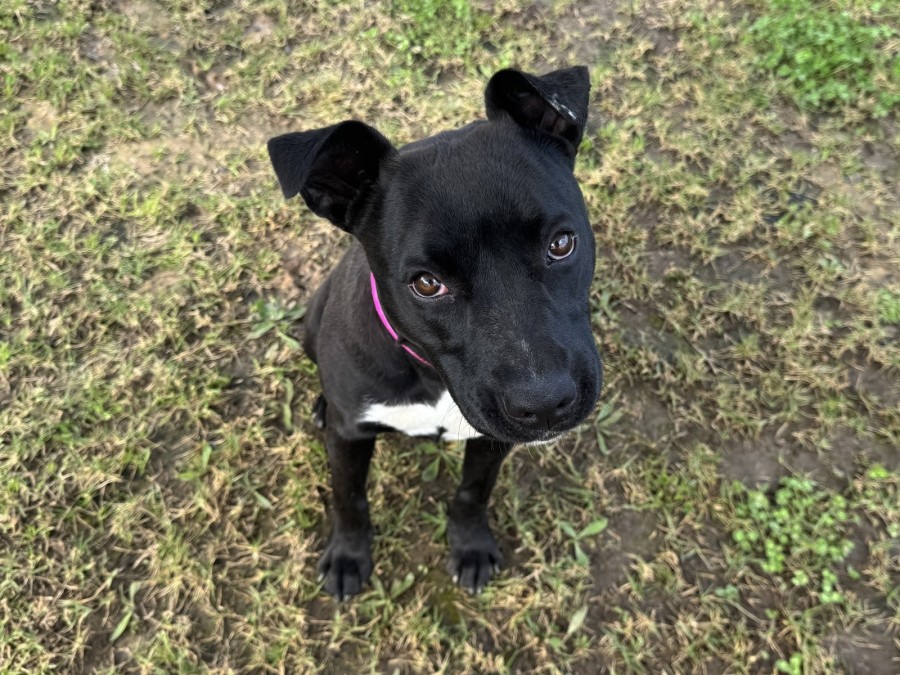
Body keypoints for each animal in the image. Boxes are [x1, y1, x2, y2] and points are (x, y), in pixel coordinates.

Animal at [267, 66, 602, 600]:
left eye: (561, 243)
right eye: (426, 283)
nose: (546, 403)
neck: (426, 370)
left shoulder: (491, 440)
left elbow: (472, 492)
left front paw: (470, 545)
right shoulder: (349, 441)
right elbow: (349, 498)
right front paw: (348, 555)